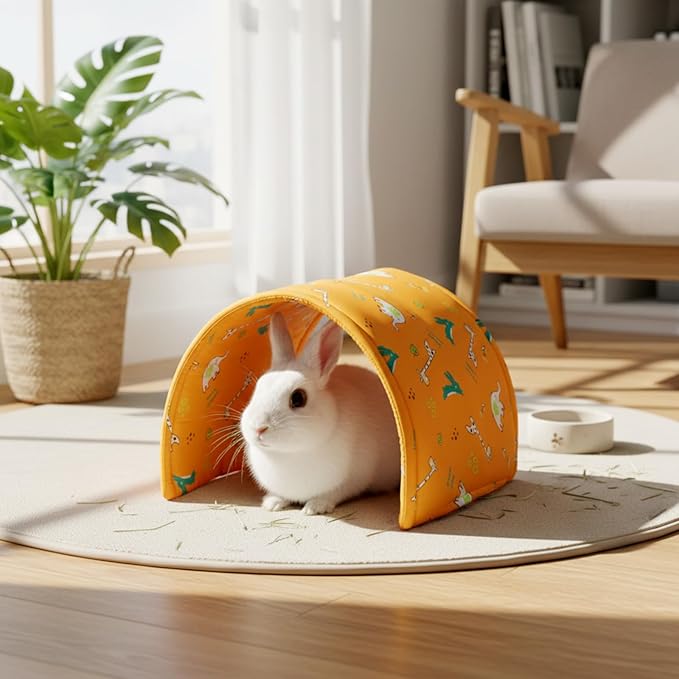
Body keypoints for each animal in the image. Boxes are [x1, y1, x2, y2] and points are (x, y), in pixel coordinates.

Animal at [239, 312, 401, 515]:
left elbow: (333, 494)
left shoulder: (352, 480)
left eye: (298, 398)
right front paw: (272, 503)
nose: (258, 428)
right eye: (258, 387)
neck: (288, 453)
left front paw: (313, 508)